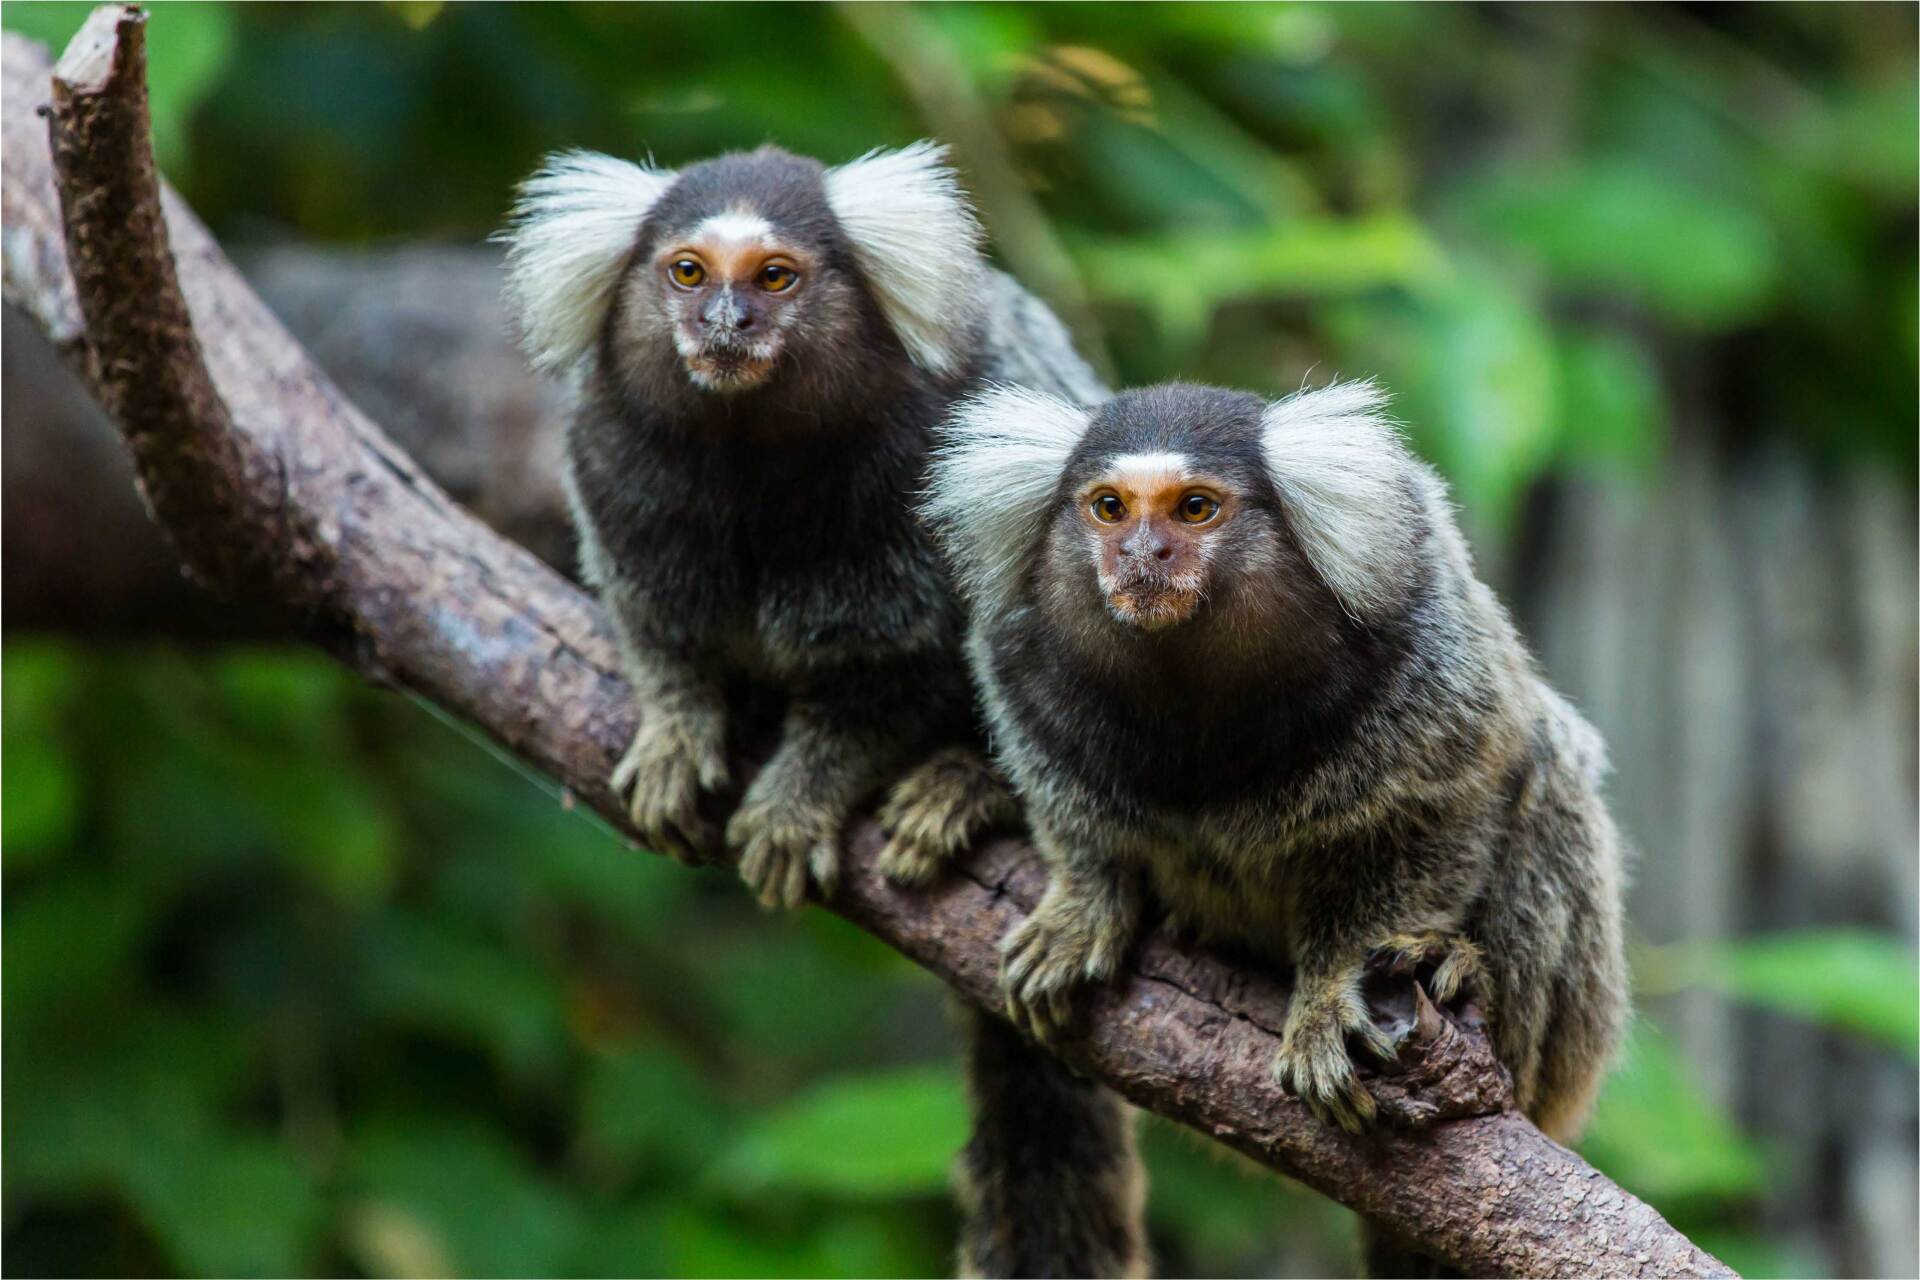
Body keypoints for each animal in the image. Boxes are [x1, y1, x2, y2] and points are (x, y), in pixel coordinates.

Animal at [911, 378, 1630, 1277]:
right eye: (1109, 508)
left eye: (1195, 508)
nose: (1141, 556)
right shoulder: (1021, 661)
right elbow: (1066, 803)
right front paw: (1083, 905)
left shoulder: (1426, 648)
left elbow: (1452, 803)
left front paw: (1329, 995)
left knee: (1550, 767)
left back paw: (1465, 977)